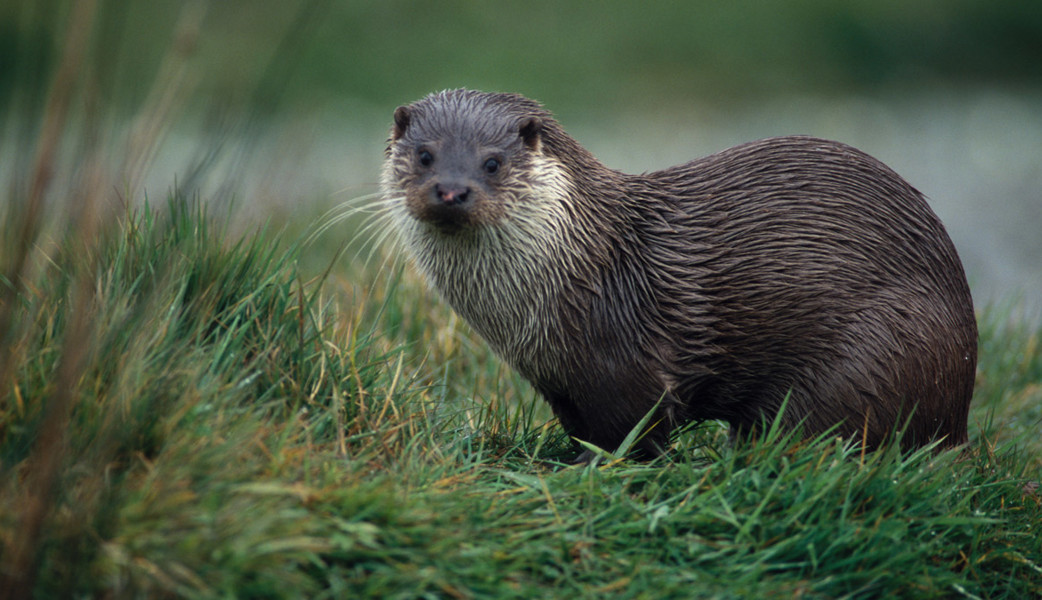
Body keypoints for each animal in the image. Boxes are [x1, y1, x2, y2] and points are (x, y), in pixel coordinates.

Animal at [381, 88, 977, 459]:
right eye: (426, 155)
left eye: (492, 162)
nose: (451, 190)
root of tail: (961, 413)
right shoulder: (558, 383)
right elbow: (583, 430)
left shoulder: (621, 362)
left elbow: (634, 433)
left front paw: (592, 471)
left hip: (875, 358)